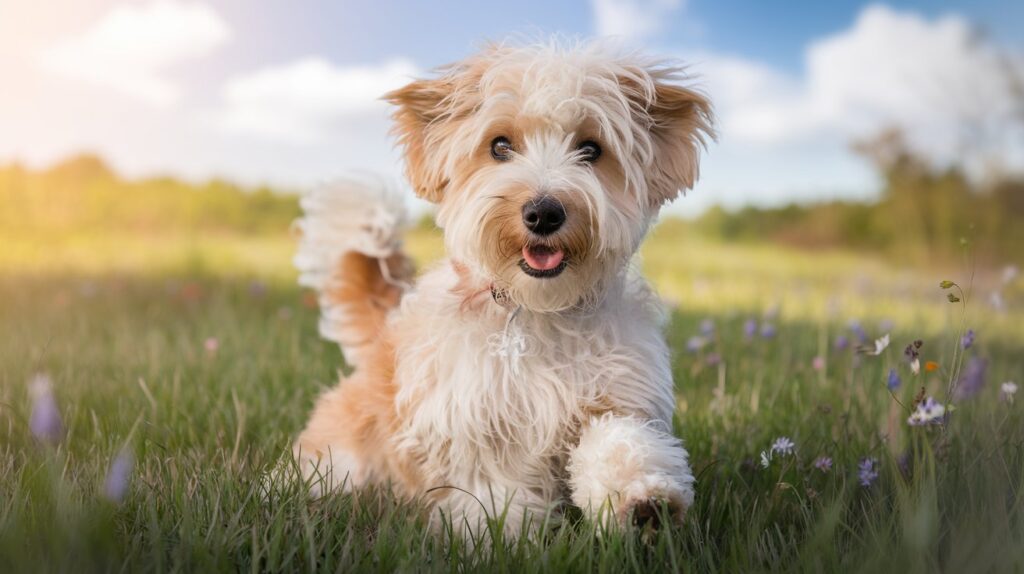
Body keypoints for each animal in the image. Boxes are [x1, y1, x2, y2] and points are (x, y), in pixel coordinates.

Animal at [288, 39, 712, 536]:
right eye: (500, 146)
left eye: (591, 149)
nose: (544, 212)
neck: (538, 310)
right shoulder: (475, 421)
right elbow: (495, 489)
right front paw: (504, 537)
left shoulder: (619, 392)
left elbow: (617, 439)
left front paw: (641, 498)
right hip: (344, 452)